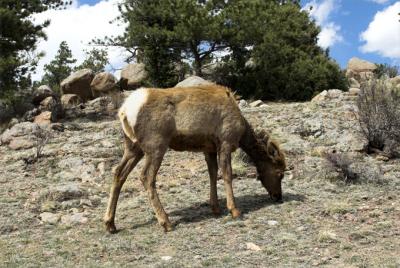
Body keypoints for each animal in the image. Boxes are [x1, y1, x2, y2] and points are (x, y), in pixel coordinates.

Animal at [103, 84, 284, 232]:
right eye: (280, 173)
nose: (278, 197)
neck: (242, 132)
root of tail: (124, 111)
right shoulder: (225, 141)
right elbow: (227, 174)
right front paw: (234, 210)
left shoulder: (209, 148)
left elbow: (213, 174)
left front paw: (215, 208)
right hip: (156, 145)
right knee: (146, 176)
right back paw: (166, 222)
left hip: (133, 147)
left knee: (118, 172)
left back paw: (110, 223)